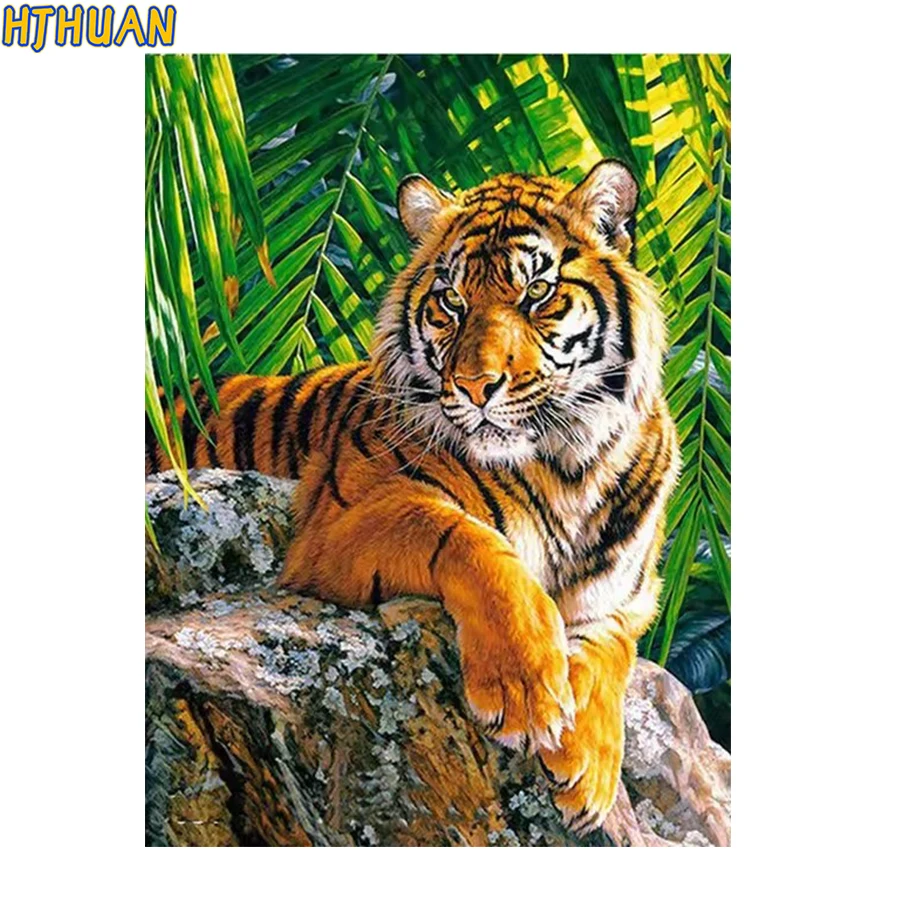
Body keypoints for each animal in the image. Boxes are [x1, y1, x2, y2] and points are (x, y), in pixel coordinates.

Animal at [146, 160, 680, 835]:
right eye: (452, 301)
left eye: (537, 293)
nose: (476, 386)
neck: (568, 464)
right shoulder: (339, 520)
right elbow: (473, 542)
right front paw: (525, 688)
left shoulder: (629, 597)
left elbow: (612, 650)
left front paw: (589, 767)